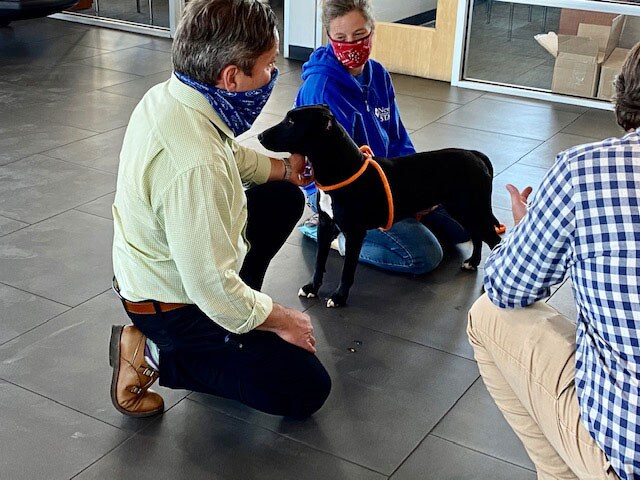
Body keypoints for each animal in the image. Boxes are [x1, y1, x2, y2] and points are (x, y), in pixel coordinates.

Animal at [258, 105, 501, 307]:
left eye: (291, 121)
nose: (260, 136)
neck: (343, 171)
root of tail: (475, 155)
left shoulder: (355, 233)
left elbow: (348, 269)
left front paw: (339, 297)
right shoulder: (326, 225)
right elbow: (319, 261)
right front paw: (312, 287)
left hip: (471, 208)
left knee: (494, 240)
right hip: (464, 210)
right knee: (477, 235)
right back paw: (473, 262)